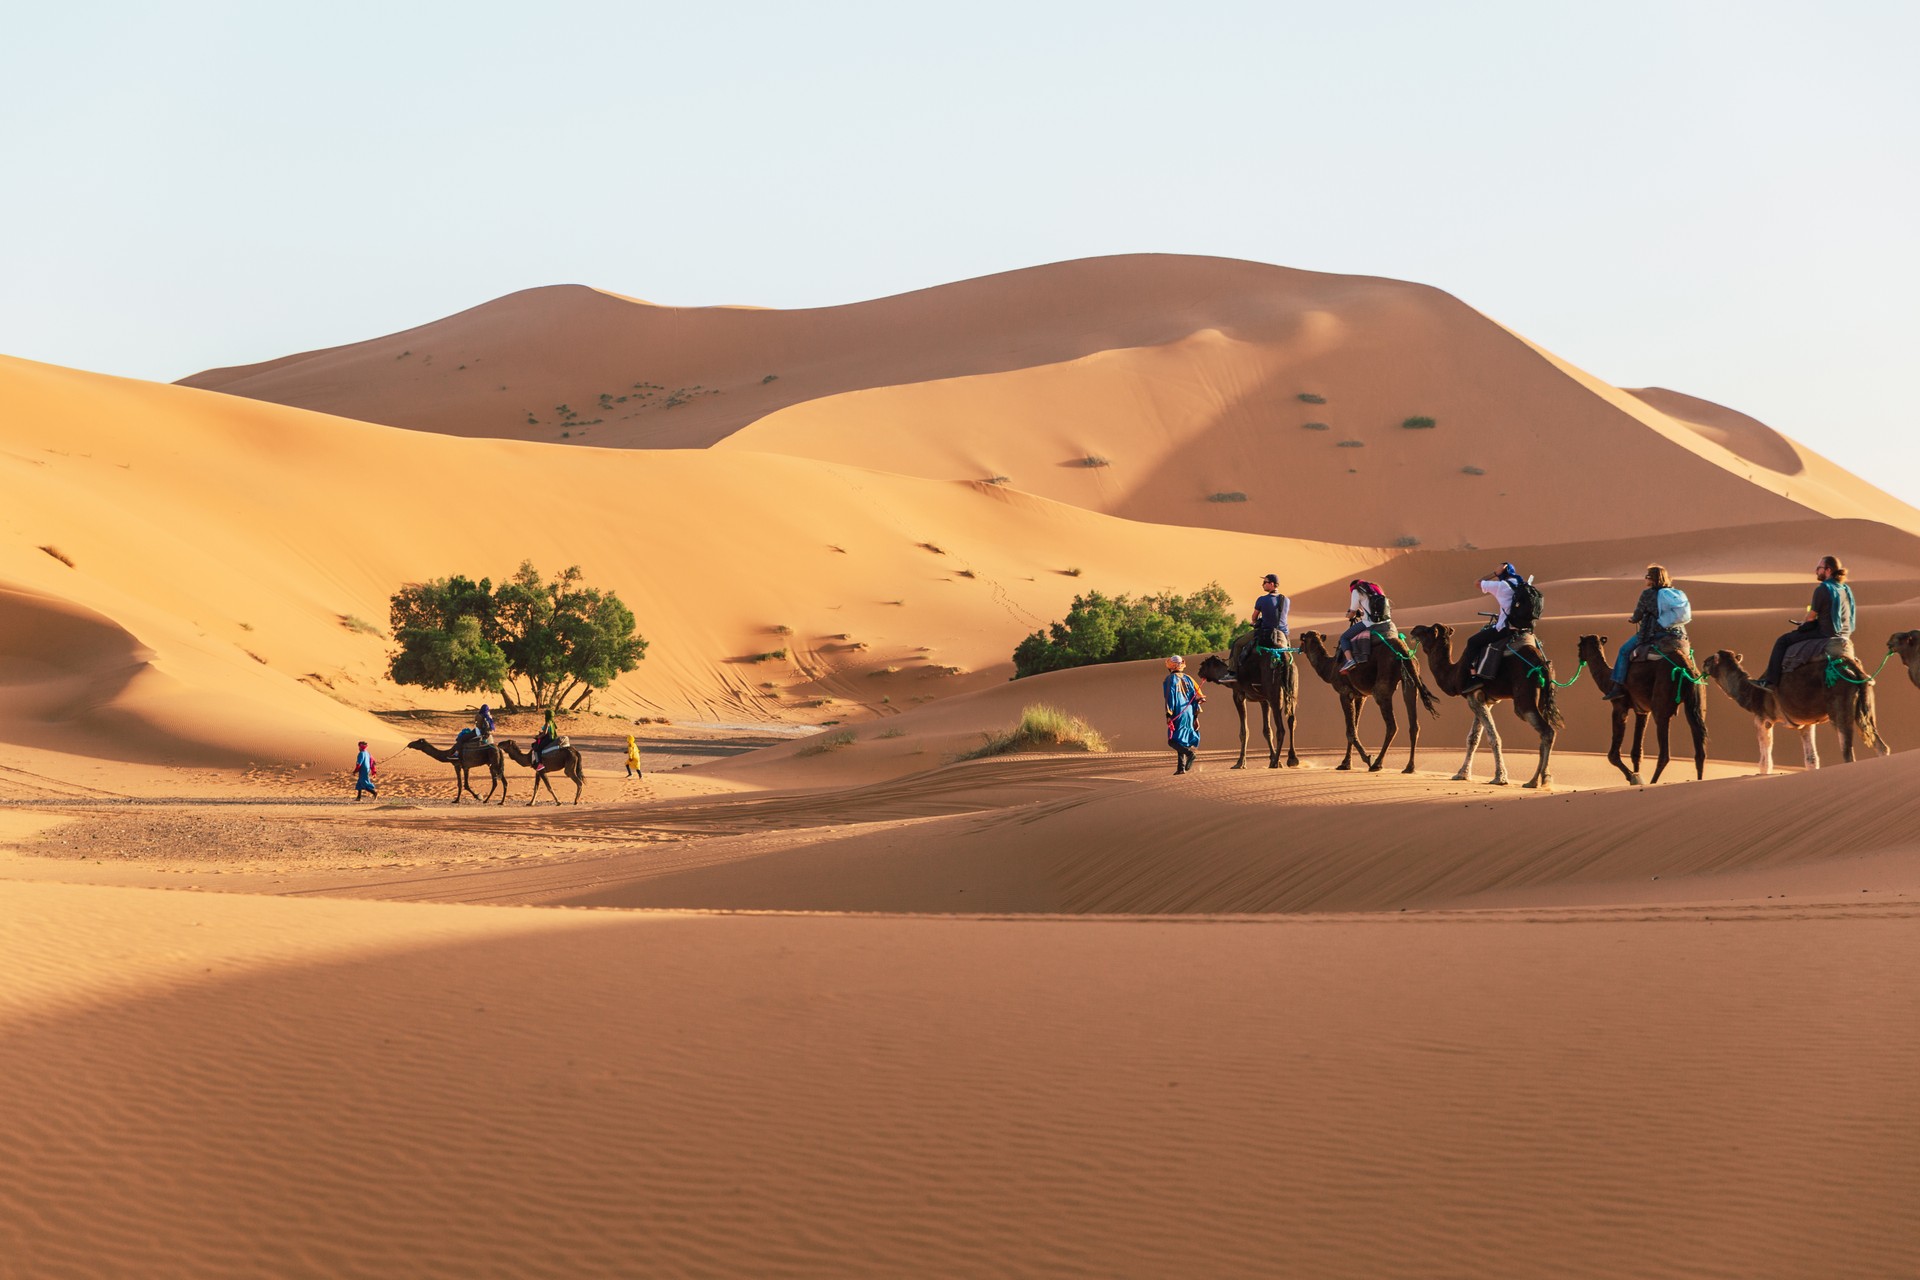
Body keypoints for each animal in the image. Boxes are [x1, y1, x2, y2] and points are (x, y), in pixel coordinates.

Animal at [1297, 629, 1436, 771]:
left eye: (1303, 640)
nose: (1299, 649)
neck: (1330, 668)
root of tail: (1404, 651)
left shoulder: (1344, 692)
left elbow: (1350, 731)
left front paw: (1367, 758)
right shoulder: (1360, 696)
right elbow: (1355, 727)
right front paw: (1346, 763)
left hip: (1382, 685)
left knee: (1392, 725)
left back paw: (1377, 763)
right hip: (1410, 680)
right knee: (1414, 724)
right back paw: (1409, 767)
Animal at [1413, 621, 1559, 790]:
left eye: (1428, 630)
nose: (1414, 629)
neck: (1453, 673)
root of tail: (1542, 662)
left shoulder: (1473, 695)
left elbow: (1493, 737)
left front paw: (1500, 777)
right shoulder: (1485, 700)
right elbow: (1473, 738)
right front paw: (1462, 774)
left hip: (1524, 698)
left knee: (1546, 731)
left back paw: (1538, 780)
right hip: (1543, 698)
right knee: (1544, 732)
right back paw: (1539, 779)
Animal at [1574, 637, 1712, 786]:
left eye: (1579, 645)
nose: (1579, 657)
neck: (1607, 679)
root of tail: (1686, 668)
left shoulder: (1619, 706)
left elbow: (1613, 755)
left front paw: (1632, 777)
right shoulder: (1642, 711)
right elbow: (1636, 752)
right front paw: (1636, 776)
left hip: (1661, 702)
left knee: (1665, 752)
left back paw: (1653, 782)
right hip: (1697, 700)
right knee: (1699, 745)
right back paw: (1698, 780)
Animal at [1704, 644, 1881, 775]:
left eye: (1710, 660)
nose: (1703, 662)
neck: (1752, 693)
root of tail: (1855, 669)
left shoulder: (1762, 718)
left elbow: (1765, 758)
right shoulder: (1806, 723)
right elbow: (1811, 759)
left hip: (1840, 707)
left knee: (1848, 753)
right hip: (1866, 707)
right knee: (1880, 745)